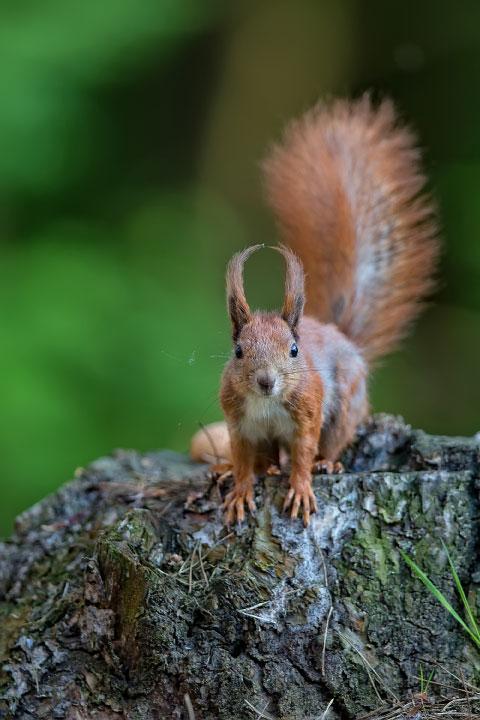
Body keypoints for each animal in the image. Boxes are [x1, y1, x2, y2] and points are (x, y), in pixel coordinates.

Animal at [197, 95, 439, 526]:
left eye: (295, 350)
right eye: (238, 351)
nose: (266, 381)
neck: (266, 403)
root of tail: (342, 337)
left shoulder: (308, 414)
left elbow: (303, 454)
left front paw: (301, 488)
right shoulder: (239, 425)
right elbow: (242, 459)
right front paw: (240, 490)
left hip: (346, 405)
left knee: (333, 442)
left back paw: (329, 464)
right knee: (266, 459)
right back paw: (252, 469)